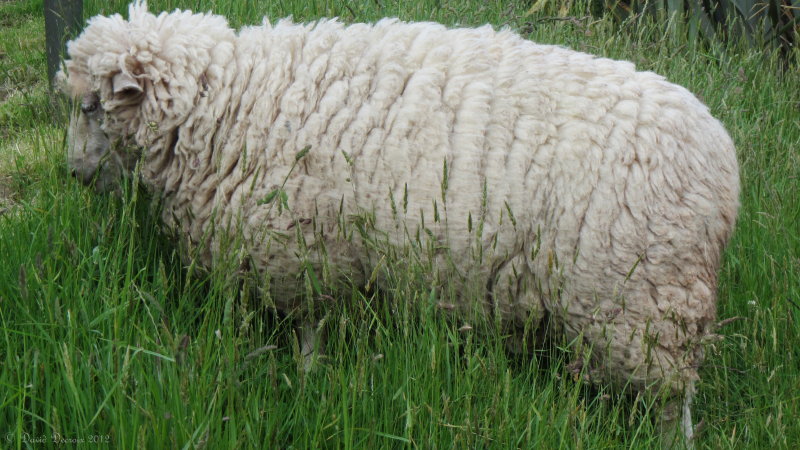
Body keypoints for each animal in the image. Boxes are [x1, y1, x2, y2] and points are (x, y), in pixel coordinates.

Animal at [59, 0, 740, 442]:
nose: (72, 172)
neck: (225, 101)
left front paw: (305, 381)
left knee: (672, 401)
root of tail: (722, 165)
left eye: (91, 106)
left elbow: (308, 334)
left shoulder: (299, 254)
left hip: (645, 305)